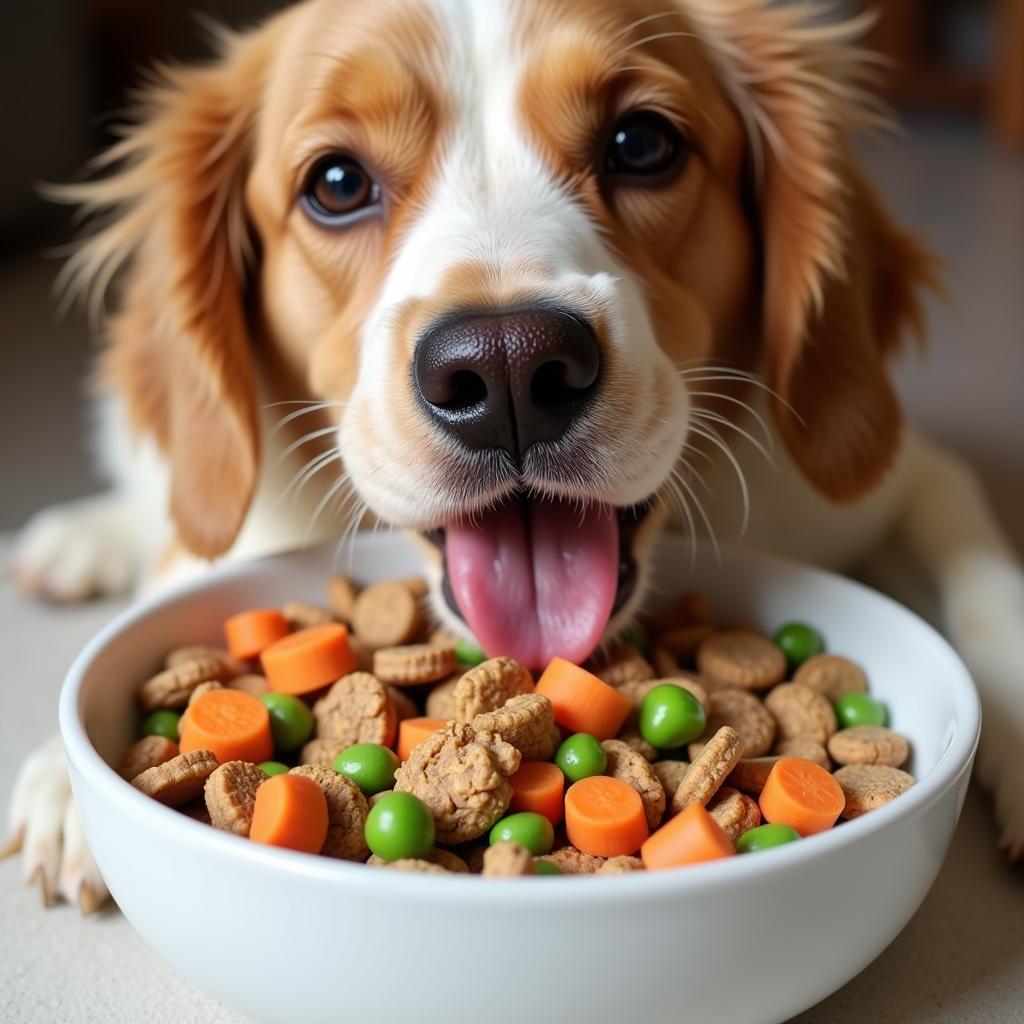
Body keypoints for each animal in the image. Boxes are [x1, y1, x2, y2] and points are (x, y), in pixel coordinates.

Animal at [8, 0, 1024, 913]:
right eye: (335, 183)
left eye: (642, 143)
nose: (506, 368)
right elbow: (180, 560)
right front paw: (65, 780)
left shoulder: (893, 477)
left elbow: (983, 577)